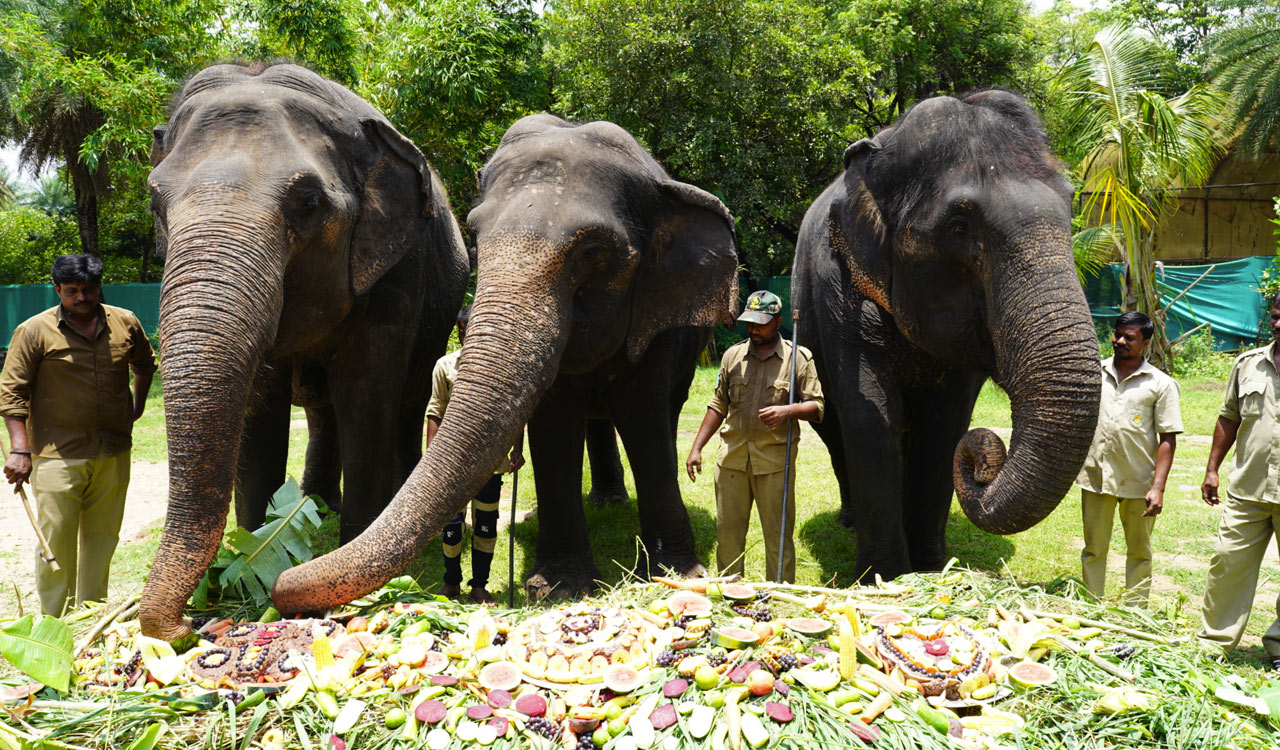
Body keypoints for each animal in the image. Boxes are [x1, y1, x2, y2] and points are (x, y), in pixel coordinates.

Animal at [137, 61, 468, 639]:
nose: (181, 629)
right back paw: (316, 504)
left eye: (309, 204)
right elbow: (260, 414)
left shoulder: (396, 271)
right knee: (321, 411)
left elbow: (365, 396)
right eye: (155, 201)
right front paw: (247, 562)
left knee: (402, 406)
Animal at [272, 113, 742, 609]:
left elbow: (644, 416)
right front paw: (560, 586)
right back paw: (606, 503)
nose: (280, 584)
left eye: (594, 252)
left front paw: (678, 575)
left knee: (666, 411)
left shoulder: (657, 322)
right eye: (476, 240)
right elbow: (554, 423)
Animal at [788, 90, 1100, 581]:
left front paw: (931, 571)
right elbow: (869, 411)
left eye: (1072, 207)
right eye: (959, 228)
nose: (982, 466)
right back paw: (850, 521)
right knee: (835, 429)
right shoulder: (835, 286)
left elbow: (945, 424)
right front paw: (884, 578)